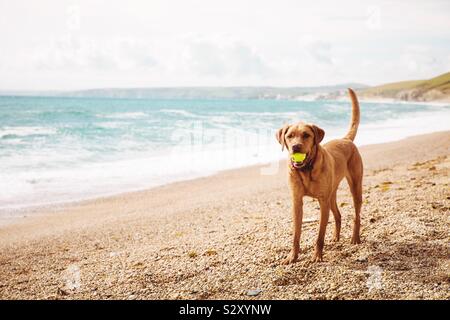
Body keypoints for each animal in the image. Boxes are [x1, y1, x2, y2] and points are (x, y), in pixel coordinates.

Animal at [276, 89, 364, 264]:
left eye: (306, 135)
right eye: (290, 136)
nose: (296, 146)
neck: (306, 169)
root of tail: (345, 139)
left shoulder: (322, 202)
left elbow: (319, 235)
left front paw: (317, 255)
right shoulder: (297, 202)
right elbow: (296, 234)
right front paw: (292, 256)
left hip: (355, 187)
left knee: (356, 215)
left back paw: (355, 238)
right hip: (332, 193)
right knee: (338, 215)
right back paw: (336, 237)